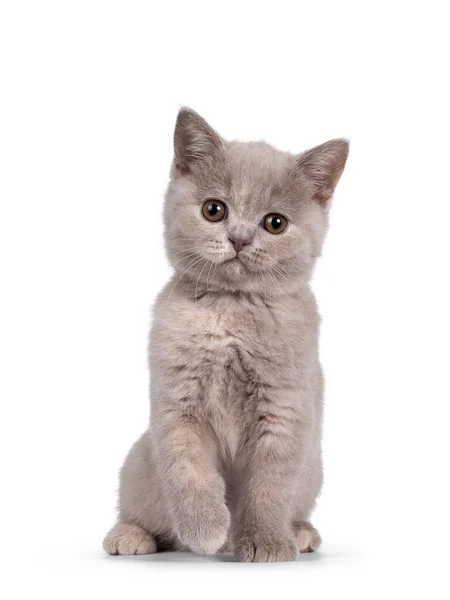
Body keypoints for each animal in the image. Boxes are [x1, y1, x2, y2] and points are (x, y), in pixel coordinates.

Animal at [103, 108, 350, 564]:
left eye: (275, 223)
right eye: (214, 210)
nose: (239, 238)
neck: (232, 311)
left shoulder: (284, 410)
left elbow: (270, 487)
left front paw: (267, 542)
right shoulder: (177, 405)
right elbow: (189, 472)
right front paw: (206, 530)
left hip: (315, 465)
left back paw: (300, 533)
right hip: (140, 460)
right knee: (142, 512)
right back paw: (131, 536)